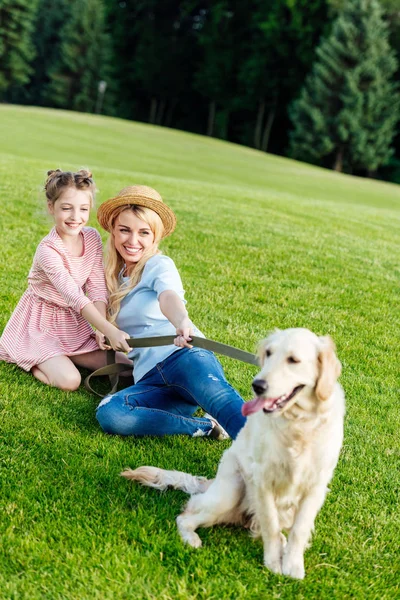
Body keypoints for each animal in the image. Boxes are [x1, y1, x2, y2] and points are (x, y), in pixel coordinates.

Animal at [122, 328, 344, 580]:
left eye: (293, 360)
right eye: (268, 353)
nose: (257, 385)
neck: (297, 424)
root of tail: (212, 483)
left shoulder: (316, 485)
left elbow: (300, 529)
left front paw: (293, 565)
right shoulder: (261, 479)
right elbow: (270, 524)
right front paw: (273, 563)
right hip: (230, 491)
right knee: (186, 516)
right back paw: (191, 539)